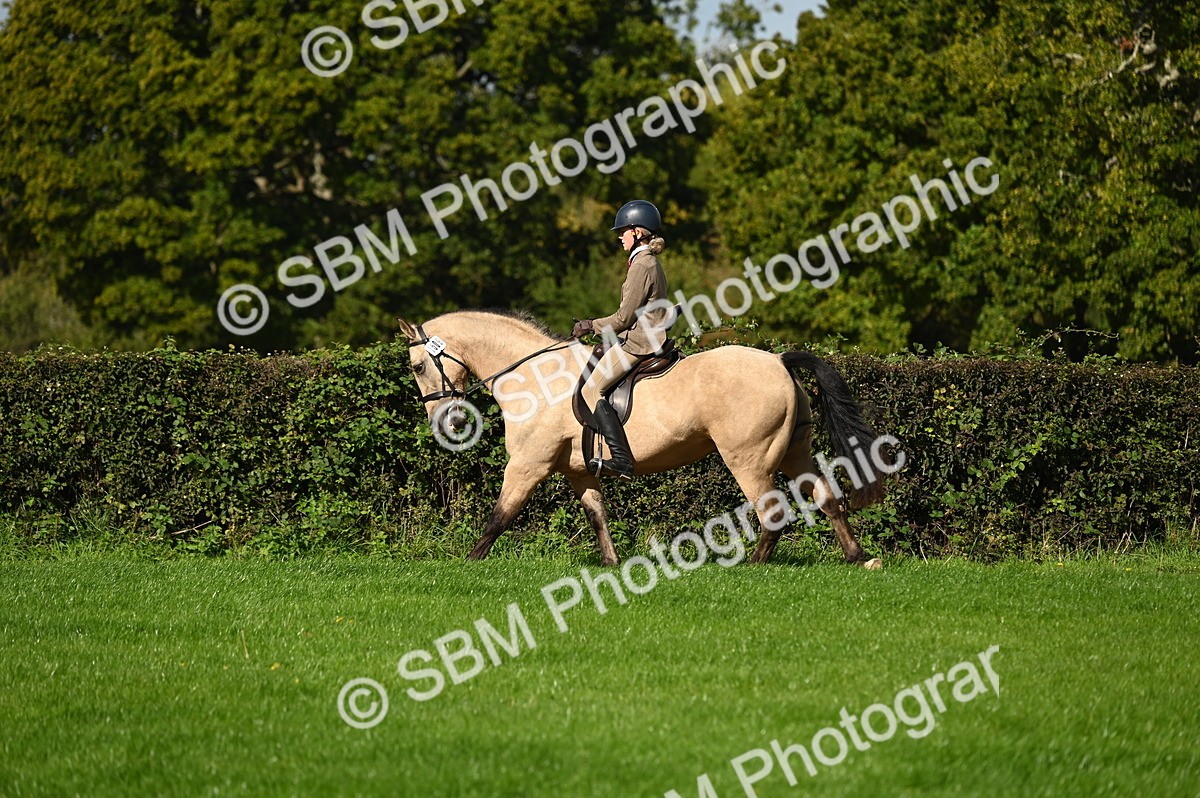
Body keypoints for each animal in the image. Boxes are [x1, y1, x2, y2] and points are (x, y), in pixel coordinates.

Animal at [397, 310, 887, 569]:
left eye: (418, 366)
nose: (444, 422)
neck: (533, 378)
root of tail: (779, 361)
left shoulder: (528, 465)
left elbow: (500, 516)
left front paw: (469, 562)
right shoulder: (577, 472)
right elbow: (597, 515)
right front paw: (613, 564)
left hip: (747, 456)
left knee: (773, 509)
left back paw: (754, 565)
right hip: (793, 451)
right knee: (825, 495)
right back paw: (858, 556)